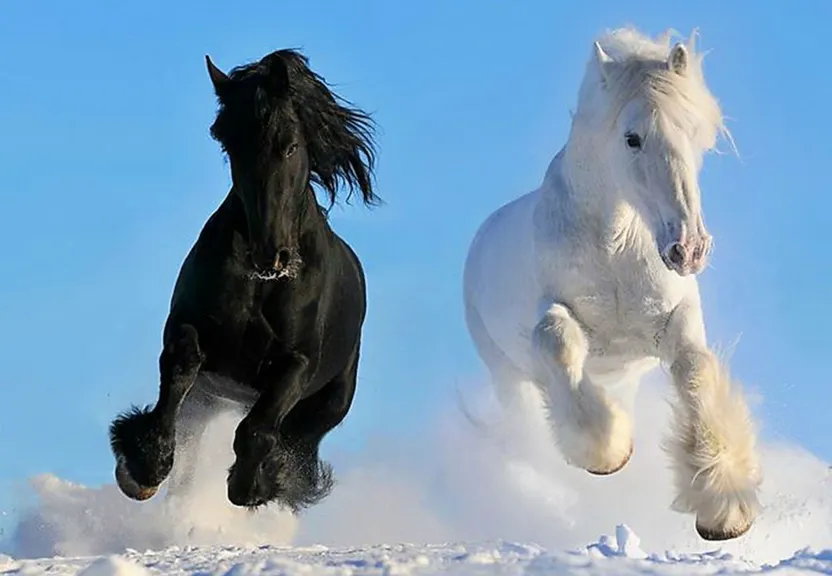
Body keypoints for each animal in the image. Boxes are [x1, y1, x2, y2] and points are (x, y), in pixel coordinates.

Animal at [108, 47, 380, 510]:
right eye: (230, 146)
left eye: (290, 145)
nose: (271, 255)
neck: (263, 285)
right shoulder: (189, 327)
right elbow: (179, 368)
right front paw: (143, 467)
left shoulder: (297, 363)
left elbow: (258, 430)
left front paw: (252, 484)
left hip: (329, 402)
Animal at [464, 27, 764, 540]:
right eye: (632, 138)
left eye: (694, 133)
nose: (688, 248)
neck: (616, 249)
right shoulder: (554, 313)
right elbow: (557, 341)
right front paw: (607, 453)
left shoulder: (675, 323)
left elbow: (695, 371)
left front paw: (723, 508)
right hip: (506, 374)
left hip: (624, 376)